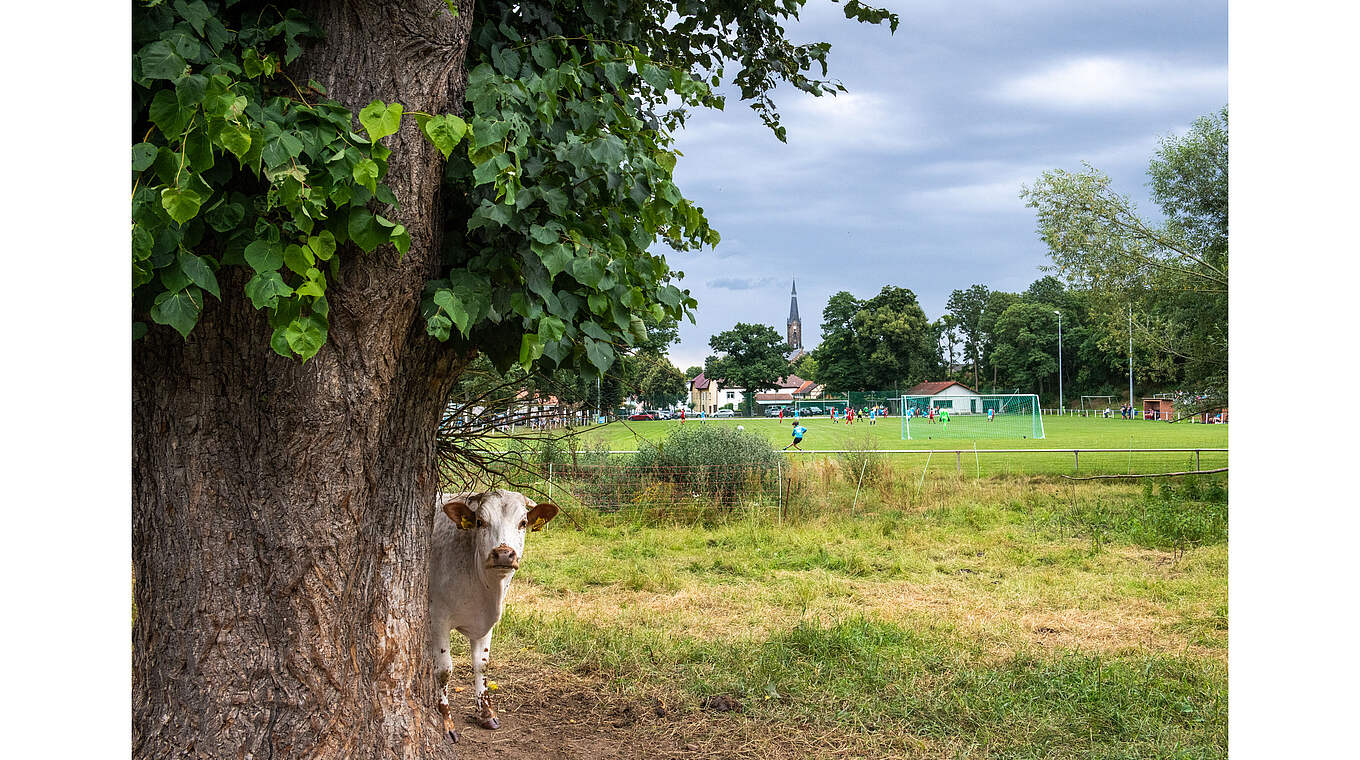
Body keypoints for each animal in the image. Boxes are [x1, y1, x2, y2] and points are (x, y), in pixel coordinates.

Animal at [421, 486, 554, 745]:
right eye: (480, 522)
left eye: (523, 522)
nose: (503, 554)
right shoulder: (438, 619)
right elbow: (444, 671)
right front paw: (446, 721)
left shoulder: (488, 621)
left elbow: (481, 665)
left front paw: (486, 713)